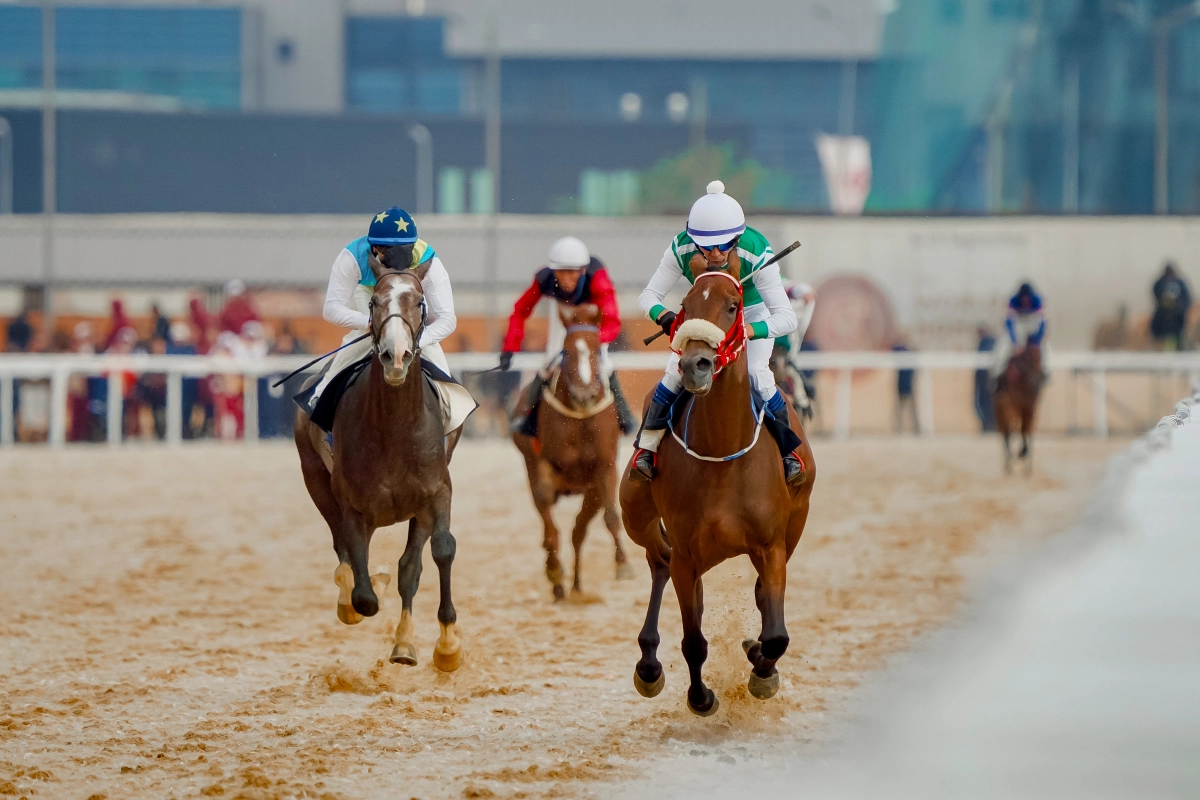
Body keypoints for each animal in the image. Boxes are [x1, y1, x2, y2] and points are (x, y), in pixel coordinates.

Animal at [294, 260, 463, 671]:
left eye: (419, 301)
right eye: (373, 302)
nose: (396, 356)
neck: (395, 430)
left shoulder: (436, 492)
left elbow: (437, 552)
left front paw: (446, 646)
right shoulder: (352, 503)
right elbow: (363, 593)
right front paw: (362, 596)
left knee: (407, 566)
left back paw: (405, 640)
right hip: (316, 479)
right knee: (344, 552)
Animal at [511, 302, 633, 599]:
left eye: (596, 349)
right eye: (566, 351)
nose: (585, 395)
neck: (580, 417)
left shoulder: (605, 469)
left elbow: (611, 516)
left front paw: (623, 564)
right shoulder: (542, 469)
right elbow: (549, 526)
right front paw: (555, 570)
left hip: (591, 492)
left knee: (578, 530)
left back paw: (576, 585)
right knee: (556, 528)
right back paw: (558, 581)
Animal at [619, 271, 816, 719]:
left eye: (732, 306)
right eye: (685, 306)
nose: (695, 365)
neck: (723, 453)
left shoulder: (771, 544)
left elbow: (777, 633)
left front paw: (762, 669)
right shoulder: (688, 553)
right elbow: (693, 640)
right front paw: (701, 697)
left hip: (794, 526)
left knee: (756, 594)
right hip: (637, 517)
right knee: (660, 562)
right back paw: (649, 665)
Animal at [993, 343, 1041, 474]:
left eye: (1041, 357)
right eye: (1029, 359)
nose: (1038, 377)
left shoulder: (1029, 408)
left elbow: (1025, 430)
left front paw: (1024, 455)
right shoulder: (1009, 408)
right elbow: (1012, 431)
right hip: (1001, 415)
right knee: (1006, 433)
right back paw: (1009, 463)